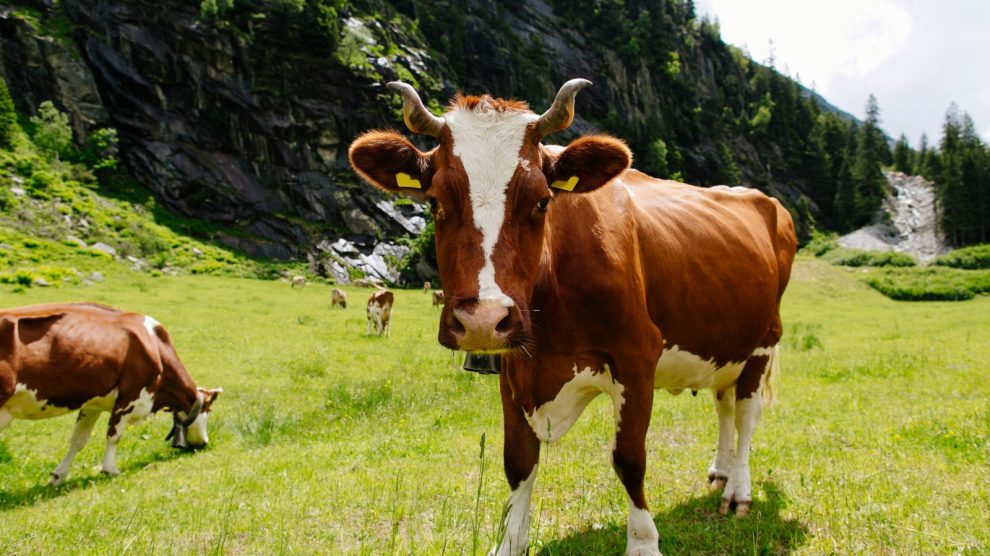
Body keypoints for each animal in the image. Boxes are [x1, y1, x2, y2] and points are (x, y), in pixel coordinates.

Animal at [1, 302, 223, 484]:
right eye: (209, 410)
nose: (204, 443)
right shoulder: (130, 397)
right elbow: (114, 435)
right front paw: (110, 470)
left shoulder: (92, 404)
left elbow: (78, 440)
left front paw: (59, 475)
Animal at [348, 79, 800, 556]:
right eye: (435, 202)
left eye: (542, 201)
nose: (483, 321)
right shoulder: (513, 366)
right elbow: (518, 461)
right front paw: (509, 541)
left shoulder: (638, 355)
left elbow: (629, 459)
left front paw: (643, 542)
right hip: (724, 345)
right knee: (725, 405)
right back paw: (721, 471)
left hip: (763, 342)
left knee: (747, 414)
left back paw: (738, 490)